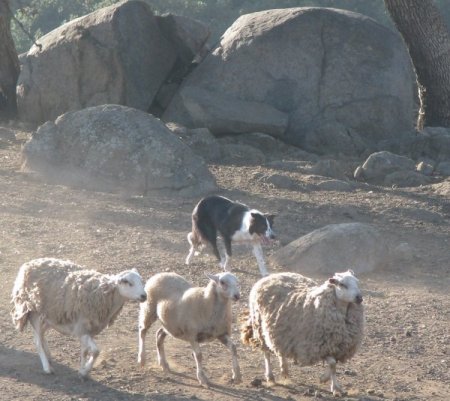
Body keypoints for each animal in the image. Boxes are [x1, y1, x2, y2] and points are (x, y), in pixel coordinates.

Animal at [10, 258, 147, 376]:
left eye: (141, 281)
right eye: (128, 282)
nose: (144, 296)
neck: (103, 293)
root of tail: (27, 264)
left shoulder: (88, 329)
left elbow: (85, 351)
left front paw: (81, 369)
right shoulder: (82, 327)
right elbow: (95, 351)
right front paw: (85, 371)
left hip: (50, 316)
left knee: (42, 335)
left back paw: (49, 356)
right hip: (35, 312)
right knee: (37, 341)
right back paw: (47, 367)